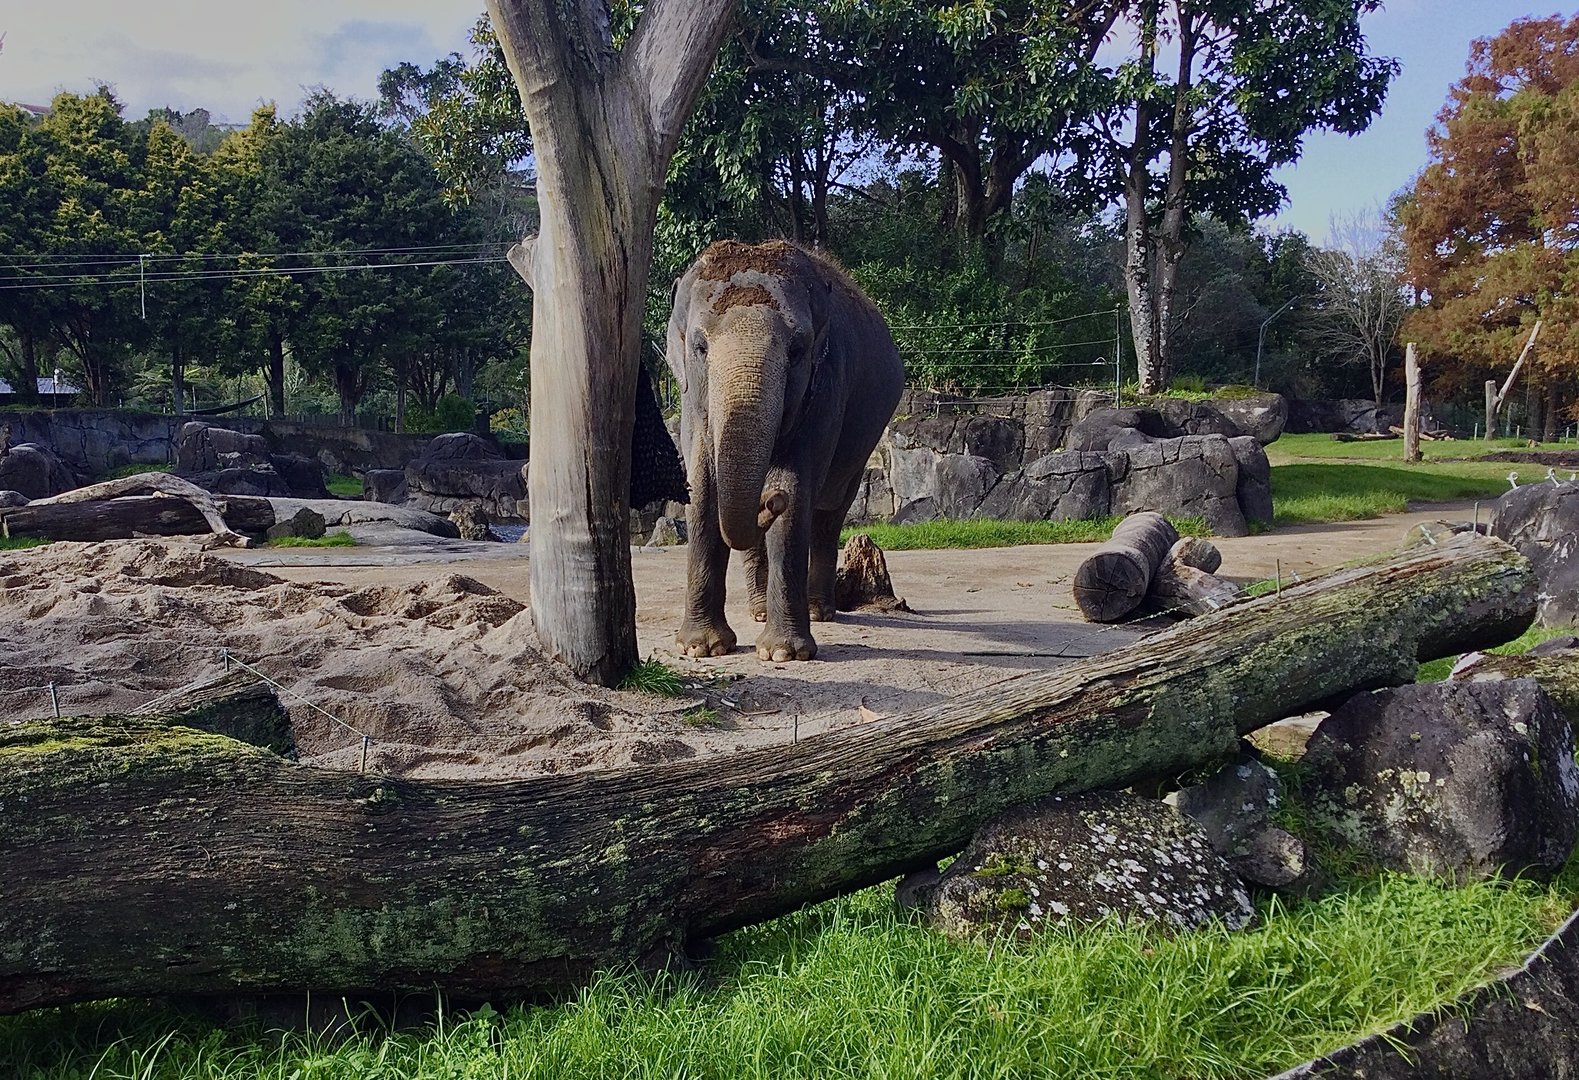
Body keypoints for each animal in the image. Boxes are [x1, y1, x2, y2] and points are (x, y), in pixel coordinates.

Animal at [668, 239, 904, 662]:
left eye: (797, 350)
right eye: (699, 347)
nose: (769, 499)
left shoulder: (826, 389)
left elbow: (795, 489)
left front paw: (783, 654)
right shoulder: (691, 398)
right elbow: (703, 485)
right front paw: (701, 648)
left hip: (862, 441)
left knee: (830, 512)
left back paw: (818, 610)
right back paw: (760, 610)